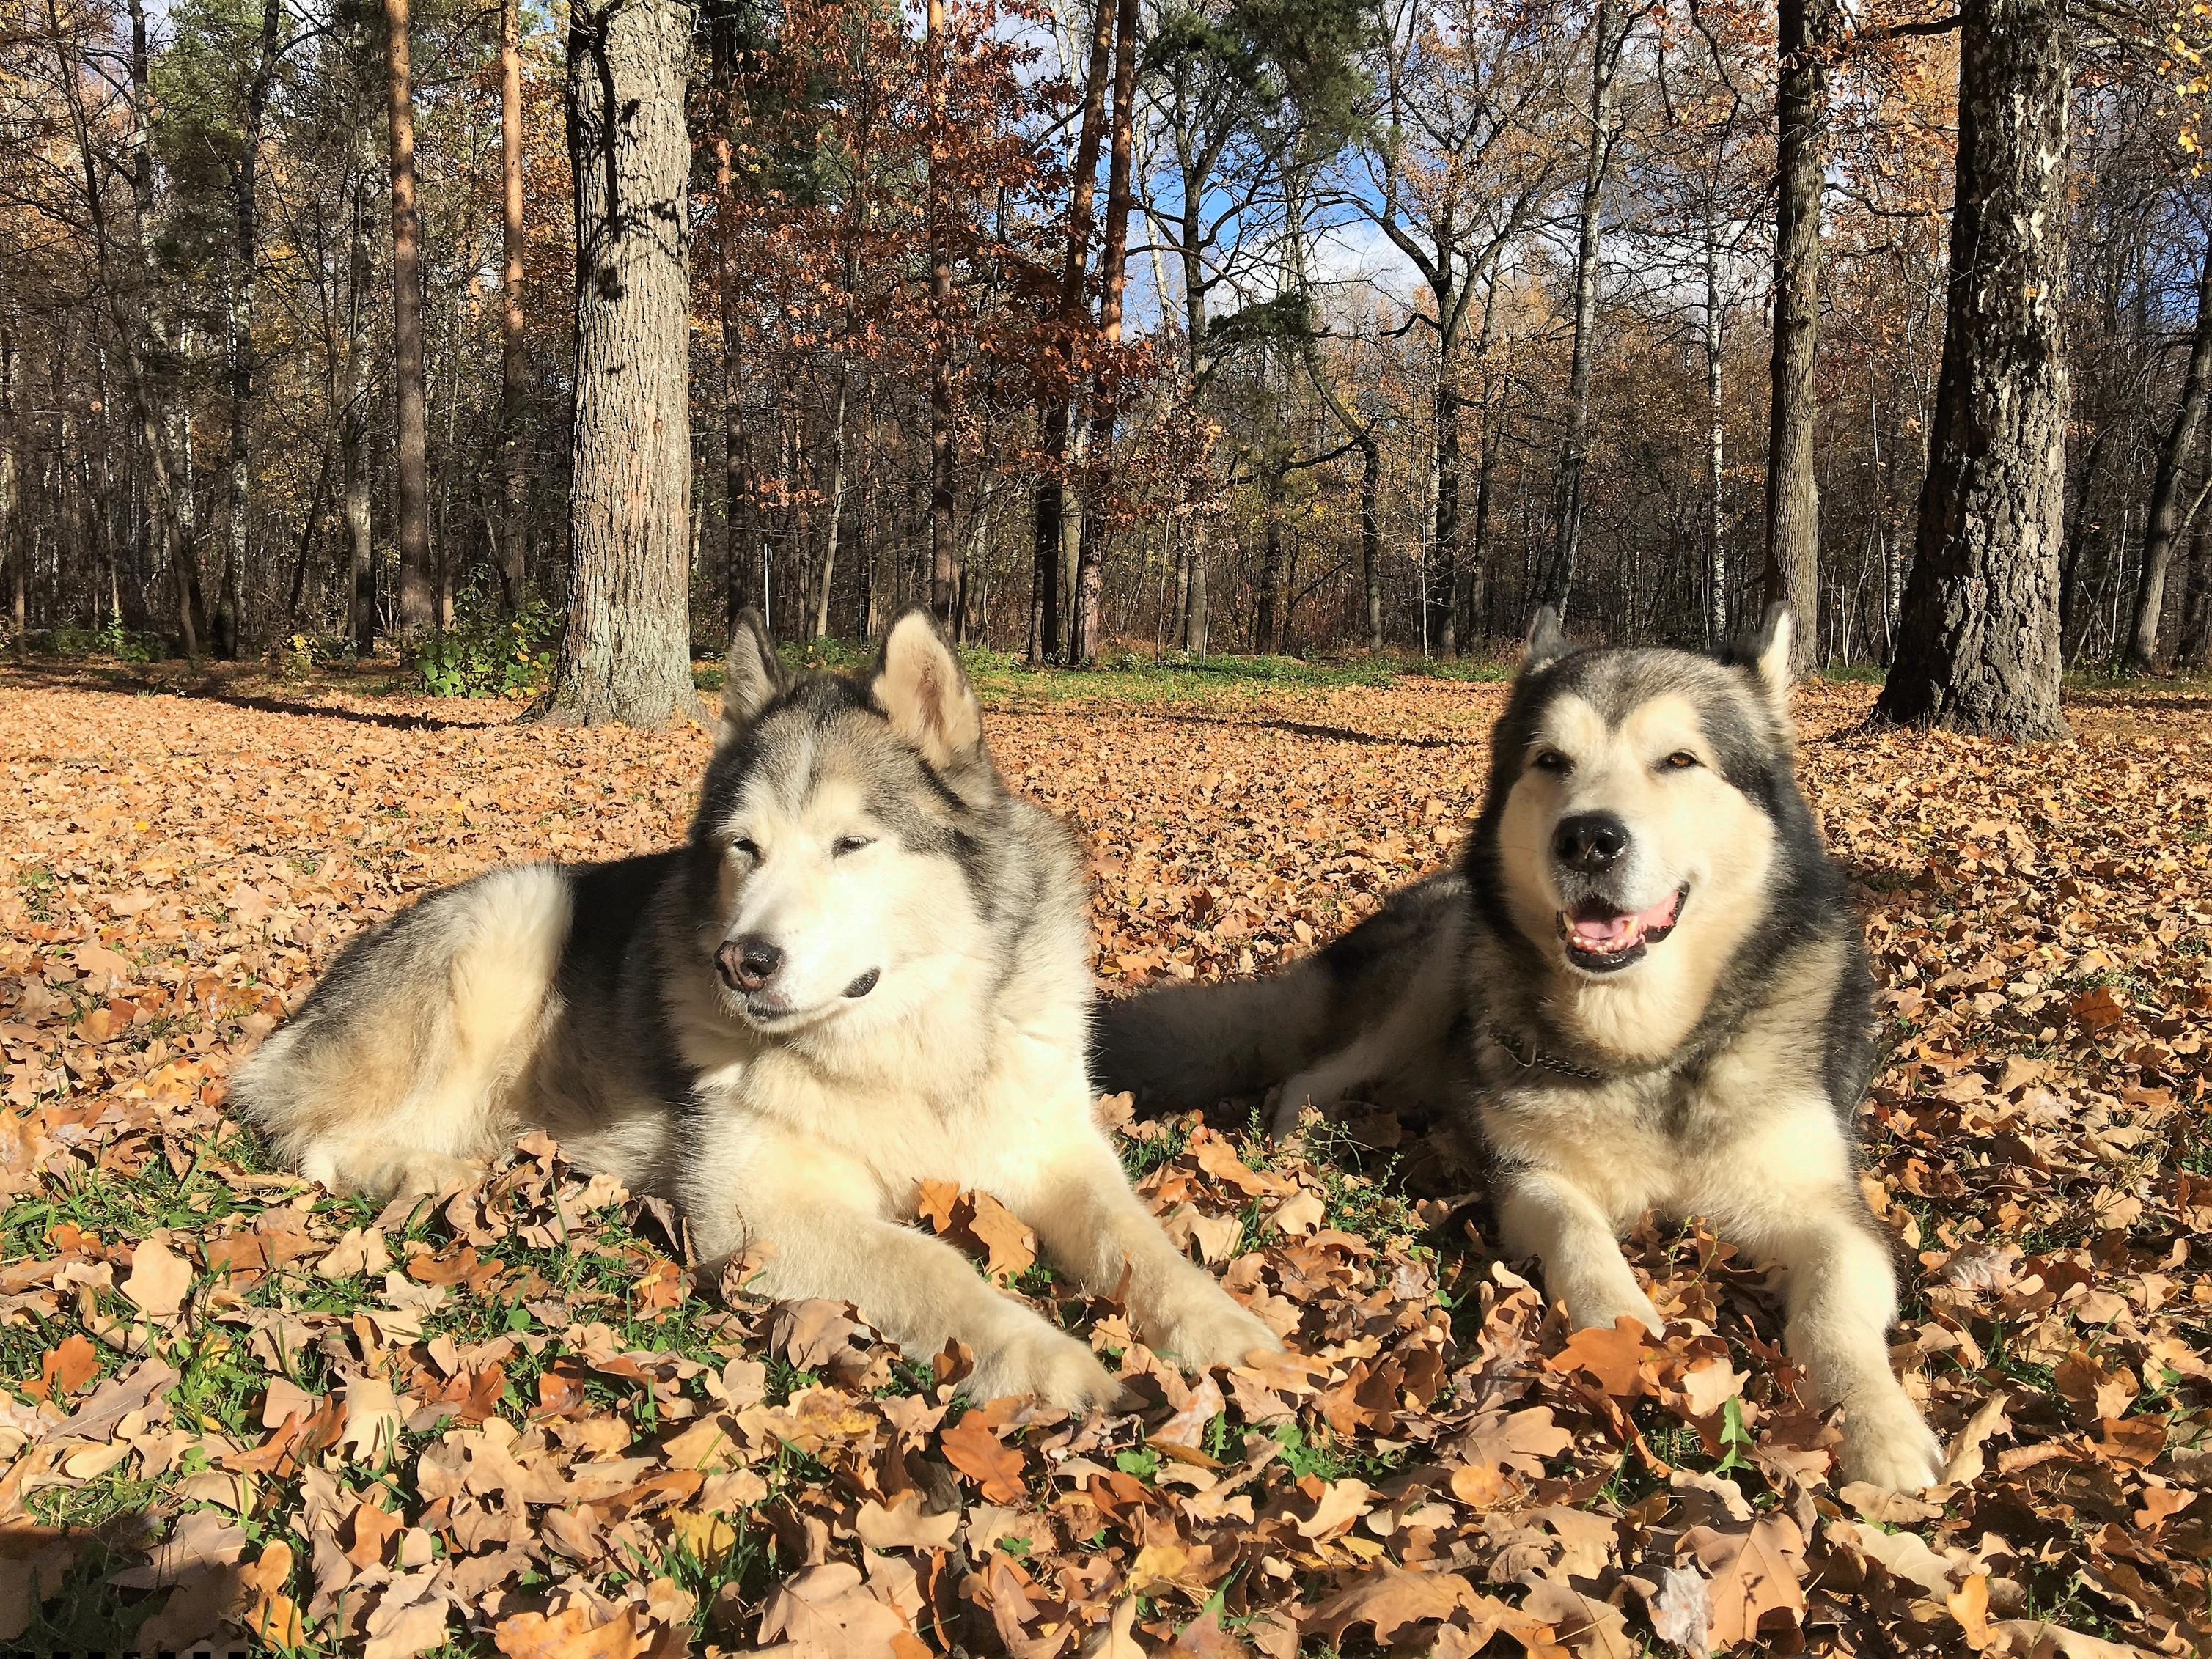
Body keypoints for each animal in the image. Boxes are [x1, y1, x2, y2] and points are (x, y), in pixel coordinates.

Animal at [233, 609, 1281, 1410]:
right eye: (744, 847)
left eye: (850, 845)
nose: (741, 961)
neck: (905, 1041)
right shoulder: (754, 1208)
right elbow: (935, 1267)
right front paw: (1051, 1360)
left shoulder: (1053, 1148)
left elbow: (1137, 1242)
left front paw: (1225, 1328)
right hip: (517, 913)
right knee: (318, 1140)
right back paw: (427, 1170)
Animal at [1095, 607, 1947, 1488]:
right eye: (1551, 761)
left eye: (1678, 760)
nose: (1588, 839)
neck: (1644, 1049)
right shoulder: (1529, 1175)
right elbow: (1581, 1238)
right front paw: (1624, 1325)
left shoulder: (1828, 1206)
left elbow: (1835, 1307)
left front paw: (1877, 1423)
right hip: (1438, 963)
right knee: (1306, 1075)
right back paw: (1299, 1141)